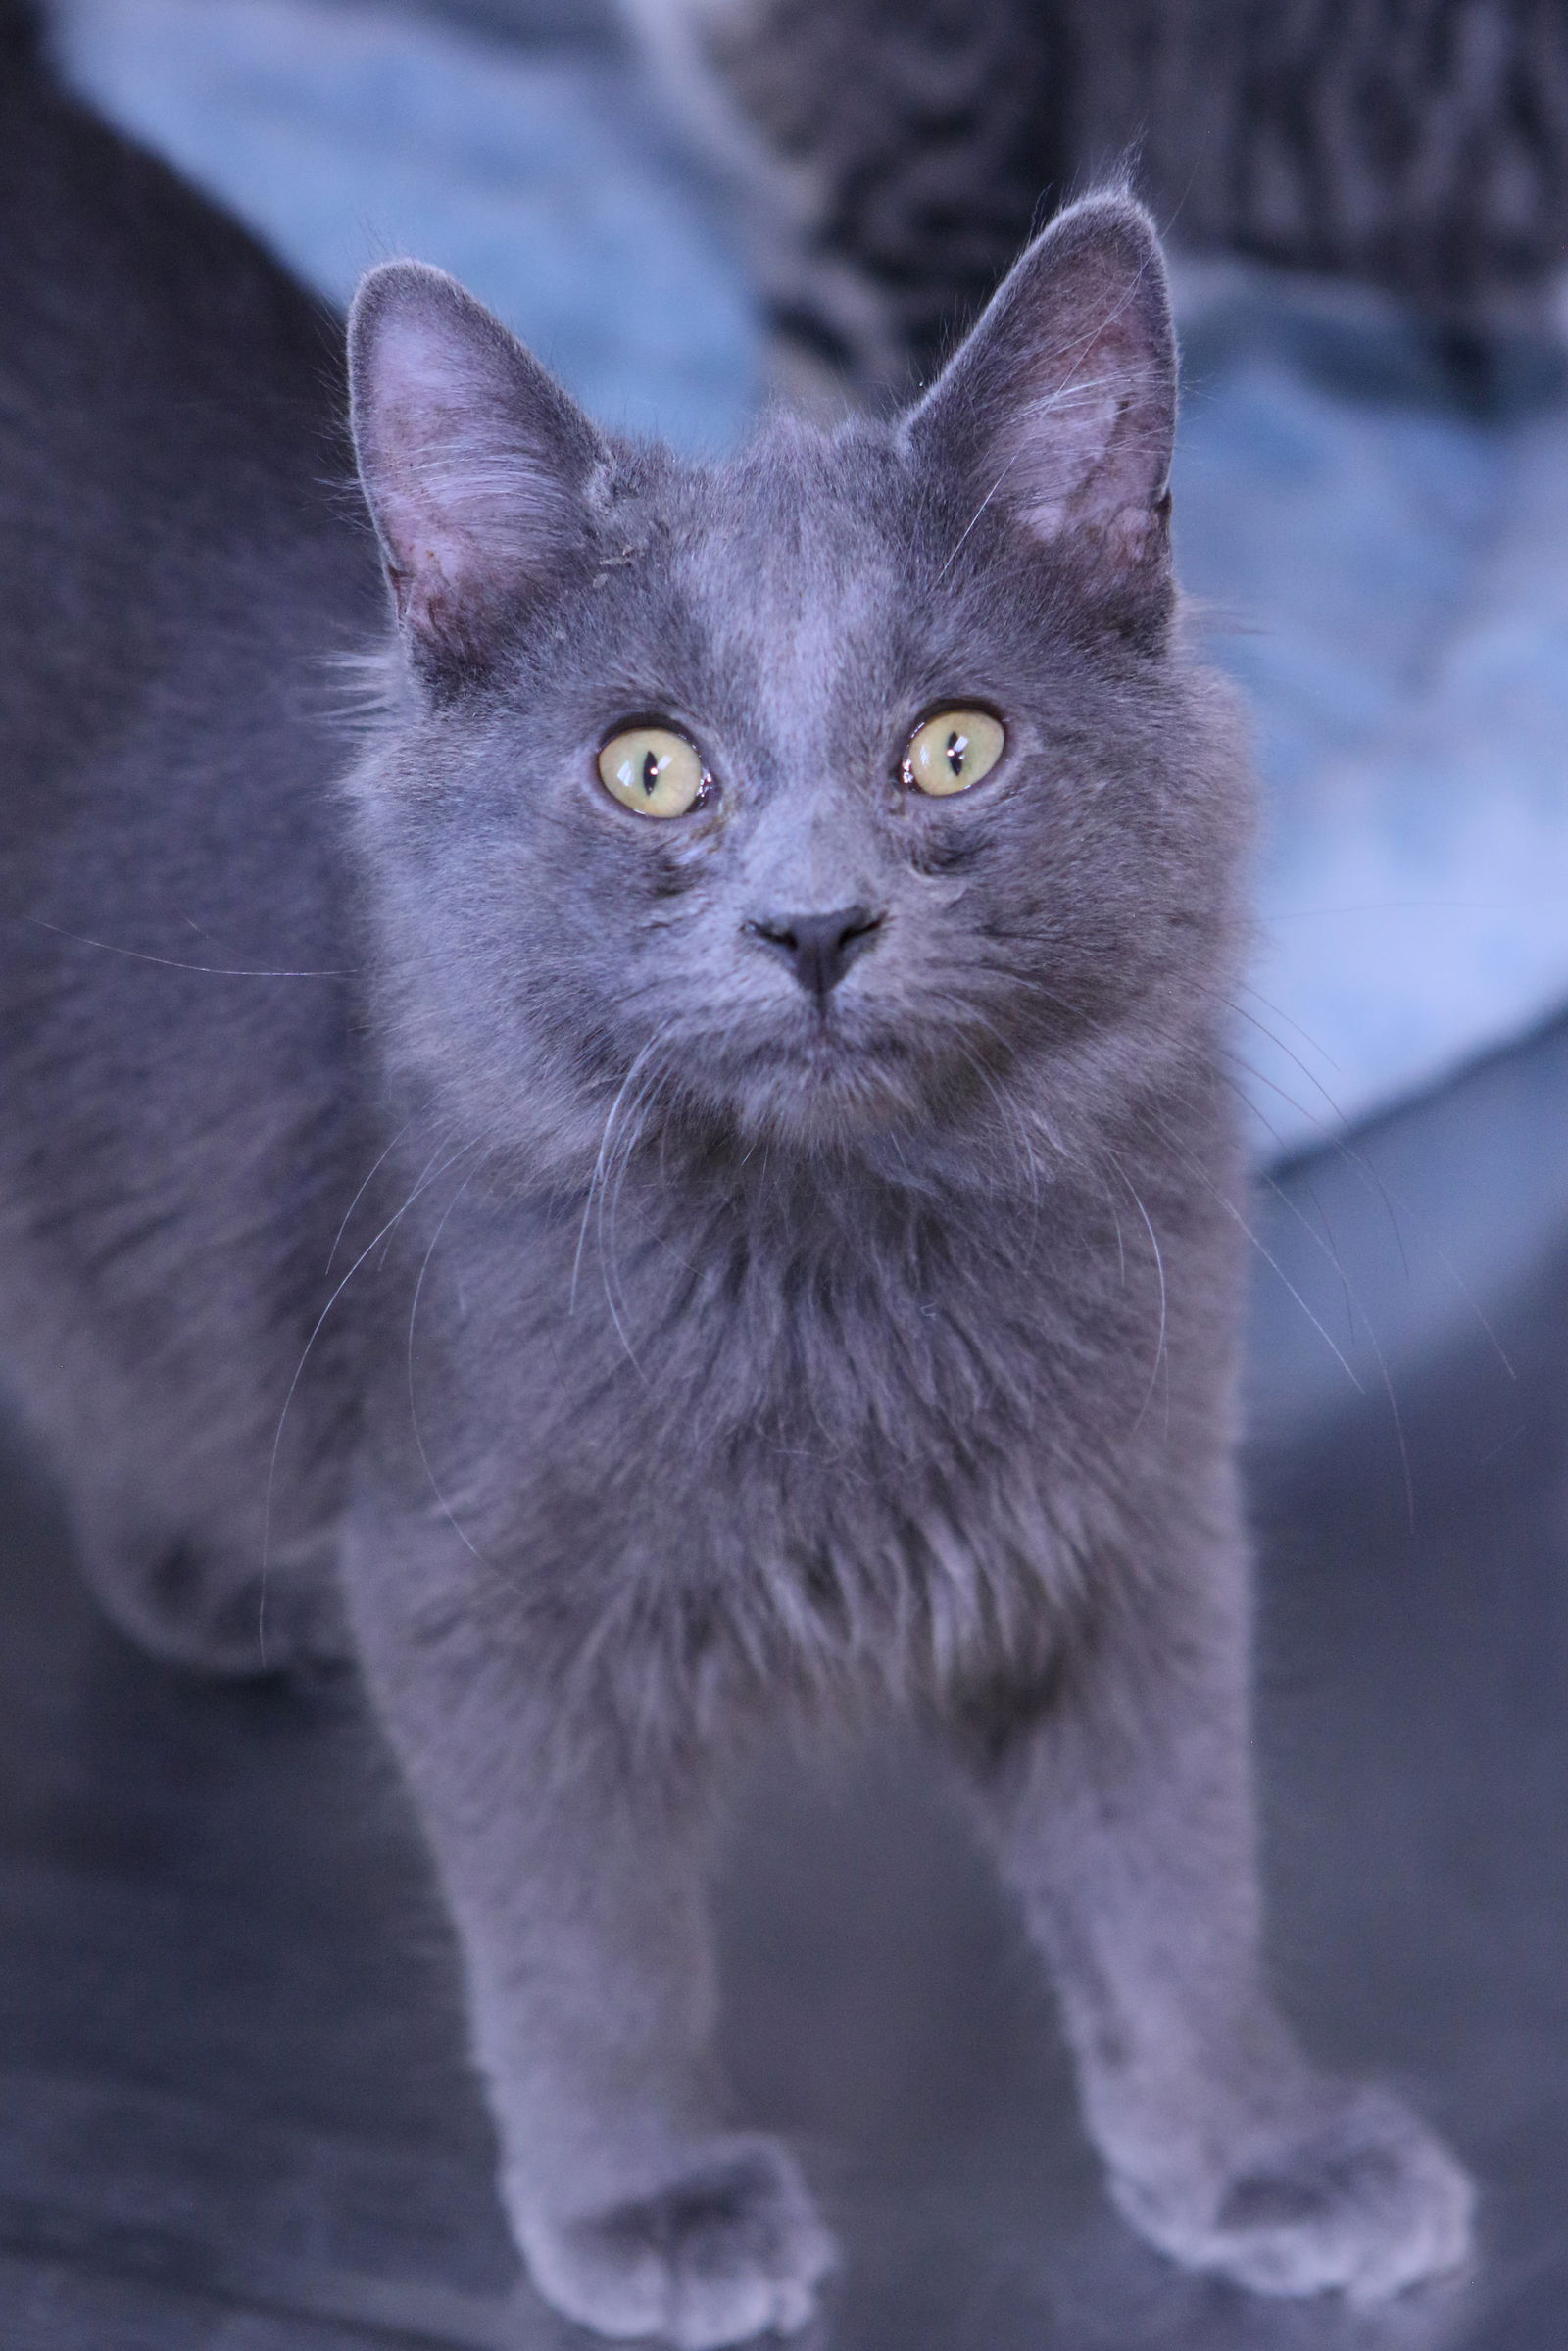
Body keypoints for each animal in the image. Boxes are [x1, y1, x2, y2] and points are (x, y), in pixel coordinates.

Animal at [0, 4, 1476, 2351]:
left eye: (953, 744)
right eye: (649, 766)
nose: (813, 925)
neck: (841, 1269)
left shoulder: (1135, 1525)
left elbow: (1172, 1864)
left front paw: (1253, 2145)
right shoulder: (482, 1588)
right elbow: (584, 1942)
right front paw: (652, 2201)